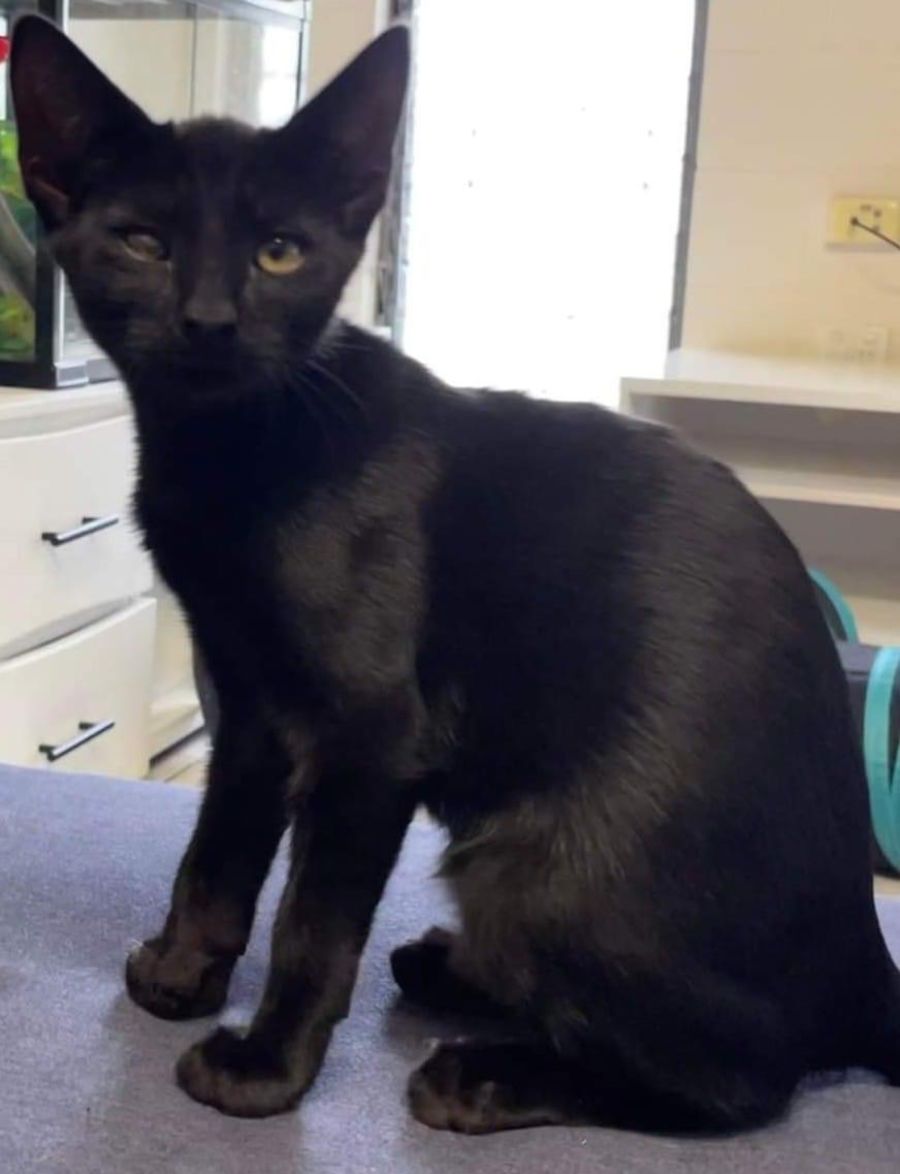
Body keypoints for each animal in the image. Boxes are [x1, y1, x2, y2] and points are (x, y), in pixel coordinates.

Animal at [11, 15, 900, 1133]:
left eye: (279, 251)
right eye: (143, 243)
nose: (210, 320)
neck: (235, 450)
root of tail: (866, 974)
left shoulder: (370, 735)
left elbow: (312, 922)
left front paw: (267, 1067)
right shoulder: (246, 701)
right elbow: (214, 854)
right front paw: (183, 971)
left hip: (536, 868)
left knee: (738, 1081)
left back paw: (483, 1073)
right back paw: (452, 971)